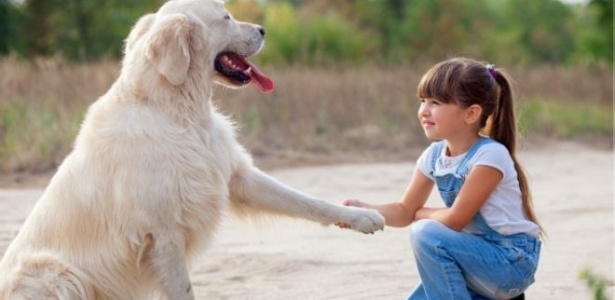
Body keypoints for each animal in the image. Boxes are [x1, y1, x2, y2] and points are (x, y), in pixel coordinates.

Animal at [0, 0, 382, 298]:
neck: (180, 112)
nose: (263, 29)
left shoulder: (237, 177)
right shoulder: (163, 235)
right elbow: (184, 291)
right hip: (53, 271)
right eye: (226, 17)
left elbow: (307, 201)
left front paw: (361, 216)